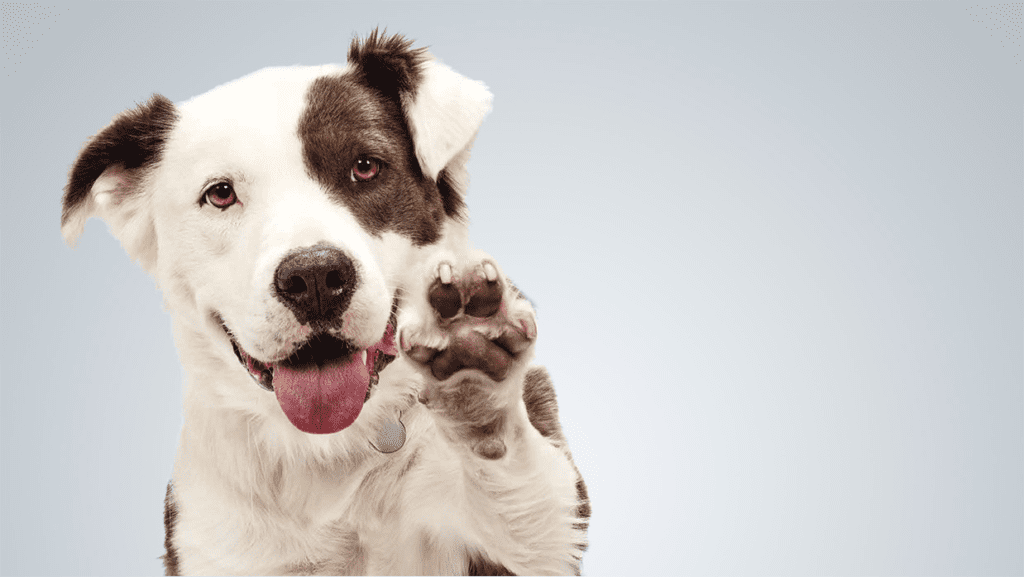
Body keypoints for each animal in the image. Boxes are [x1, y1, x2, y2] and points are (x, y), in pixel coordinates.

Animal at [61, 32, 593, 577]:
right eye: (221, 193)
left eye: (365, 167)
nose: (314, 277)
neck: (332, 452)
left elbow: (525, 504)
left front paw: (475, 379)